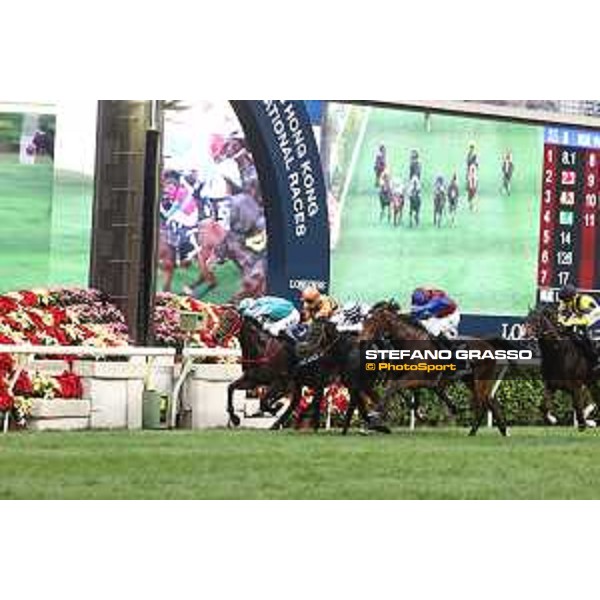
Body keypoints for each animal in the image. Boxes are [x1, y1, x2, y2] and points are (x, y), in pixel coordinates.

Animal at [358, 304, 508, 436]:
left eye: (373, 321)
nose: (361, 340)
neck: (411, 344)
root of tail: (488, 344)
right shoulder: (402, 377)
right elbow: (391, 388)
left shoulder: (417, 379)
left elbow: (393, 388)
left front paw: (374, 418)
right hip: (469, 380)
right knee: (490, 401)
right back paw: (502, 430)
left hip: (480, 380)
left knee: (483, 403)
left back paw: (474, 431)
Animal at [524, 304, 596, 432]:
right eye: (526, 318)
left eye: (536, 320)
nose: (525, 335)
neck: (557, 353)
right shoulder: (551, 385)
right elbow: (543, 406)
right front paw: (552, 419)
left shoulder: (576, 386)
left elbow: (577, 406)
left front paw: (583, 424)